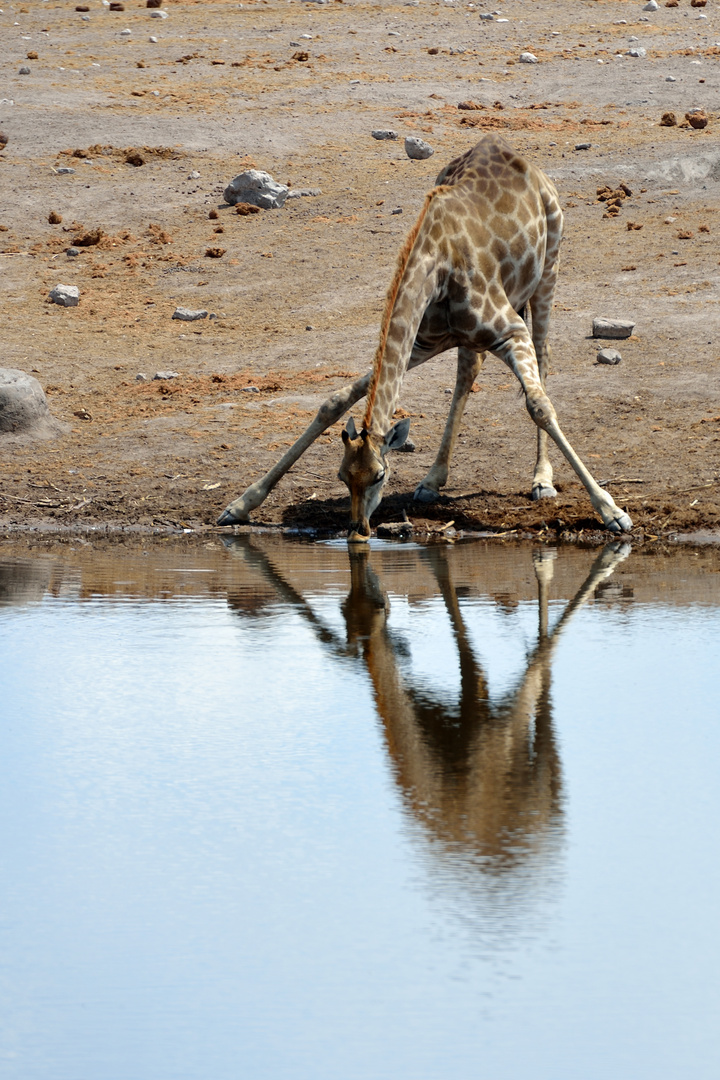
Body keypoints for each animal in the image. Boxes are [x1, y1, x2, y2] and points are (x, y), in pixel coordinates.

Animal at [216, 135, 634, 540]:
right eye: (342, 476)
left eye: (380, 476)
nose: (358, 531)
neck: (438, 267)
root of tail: (520, 158)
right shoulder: (423, 342)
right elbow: (335, 400)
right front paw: (240, 504)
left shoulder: (511, 330)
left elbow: (540, 406)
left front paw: (612, 512)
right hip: (468, 335)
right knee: (468, 371)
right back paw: (433, 480)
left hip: (549, 269)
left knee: (542, 361)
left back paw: (542, 480)